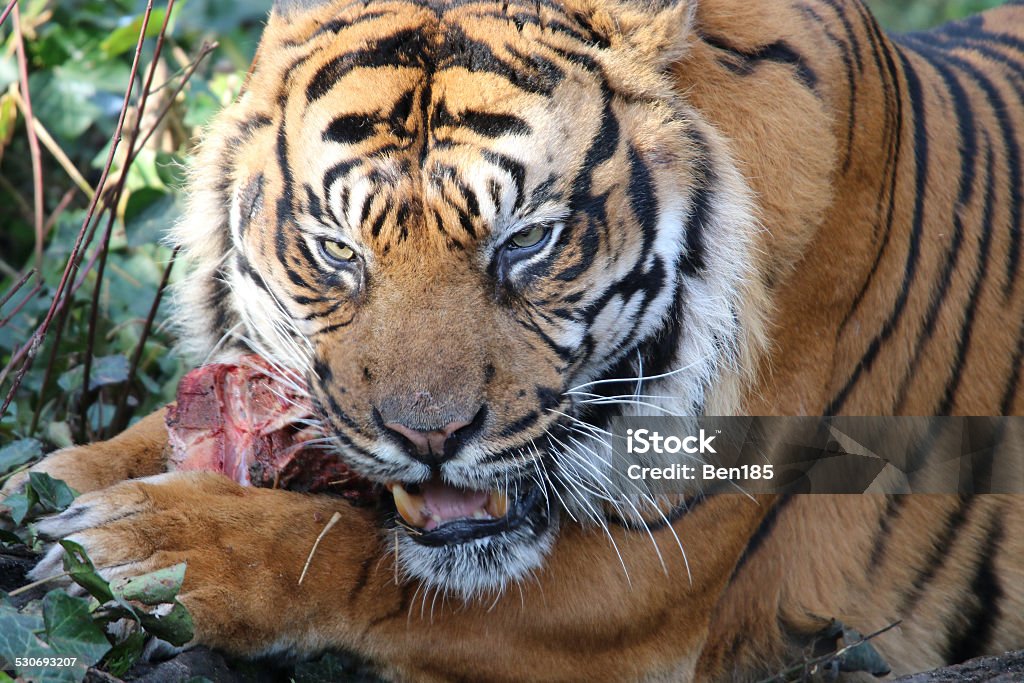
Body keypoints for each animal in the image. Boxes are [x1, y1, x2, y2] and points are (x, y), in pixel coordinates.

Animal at [2, 0, 1024, 679]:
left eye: (526, 241)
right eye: (338, 251)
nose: (428, 437)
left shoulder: (644, 583)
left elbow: (357, 551)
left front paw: (151, 548)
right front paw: (44, 486)